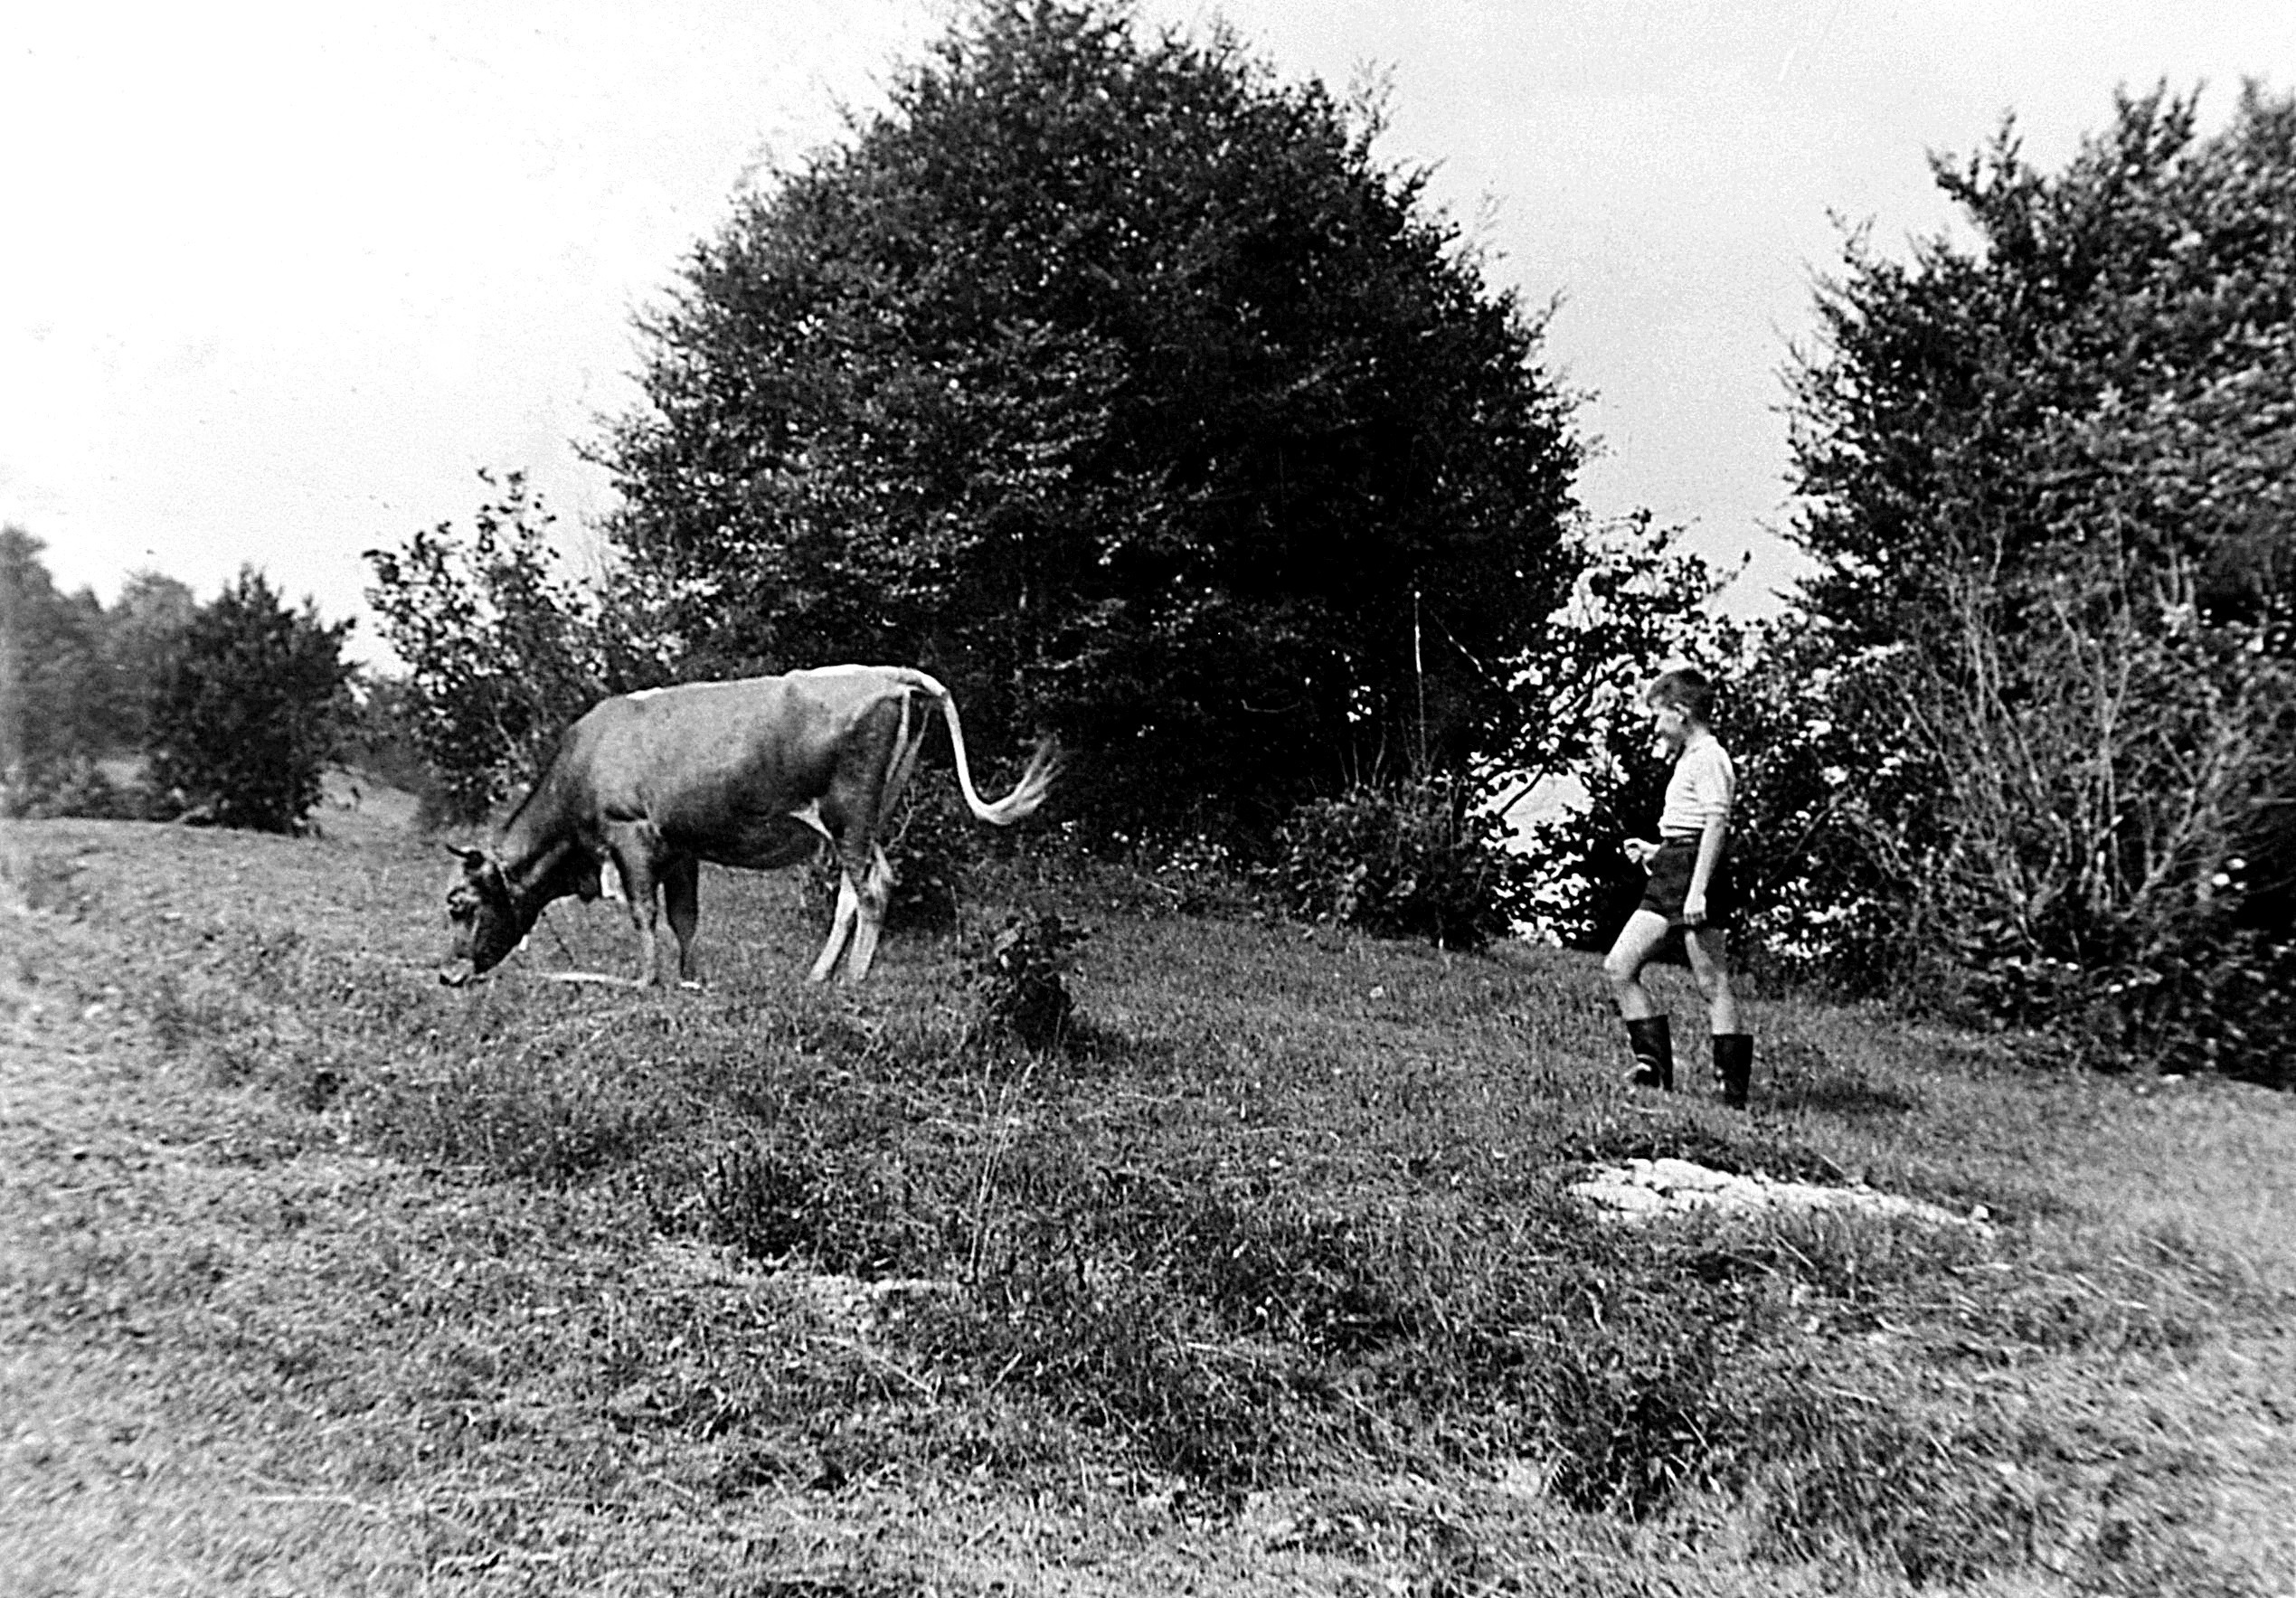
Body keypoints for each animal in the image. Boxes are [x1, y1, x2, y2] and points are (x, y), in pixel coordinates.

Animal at [438, 661, 1055, 987]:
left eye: (460, 906)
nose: (447, 975)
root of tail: (887, 674)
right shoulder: (680, 847)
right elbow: (685, 918)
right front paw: (689, 980)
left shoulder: (630, 836)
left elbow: (644, 913)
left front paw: (645, 982)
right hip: (870, 817)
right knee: (852, 893)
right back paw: (818, 977)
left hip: (849, 812)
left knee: (873, 888)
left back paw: (851, 982)